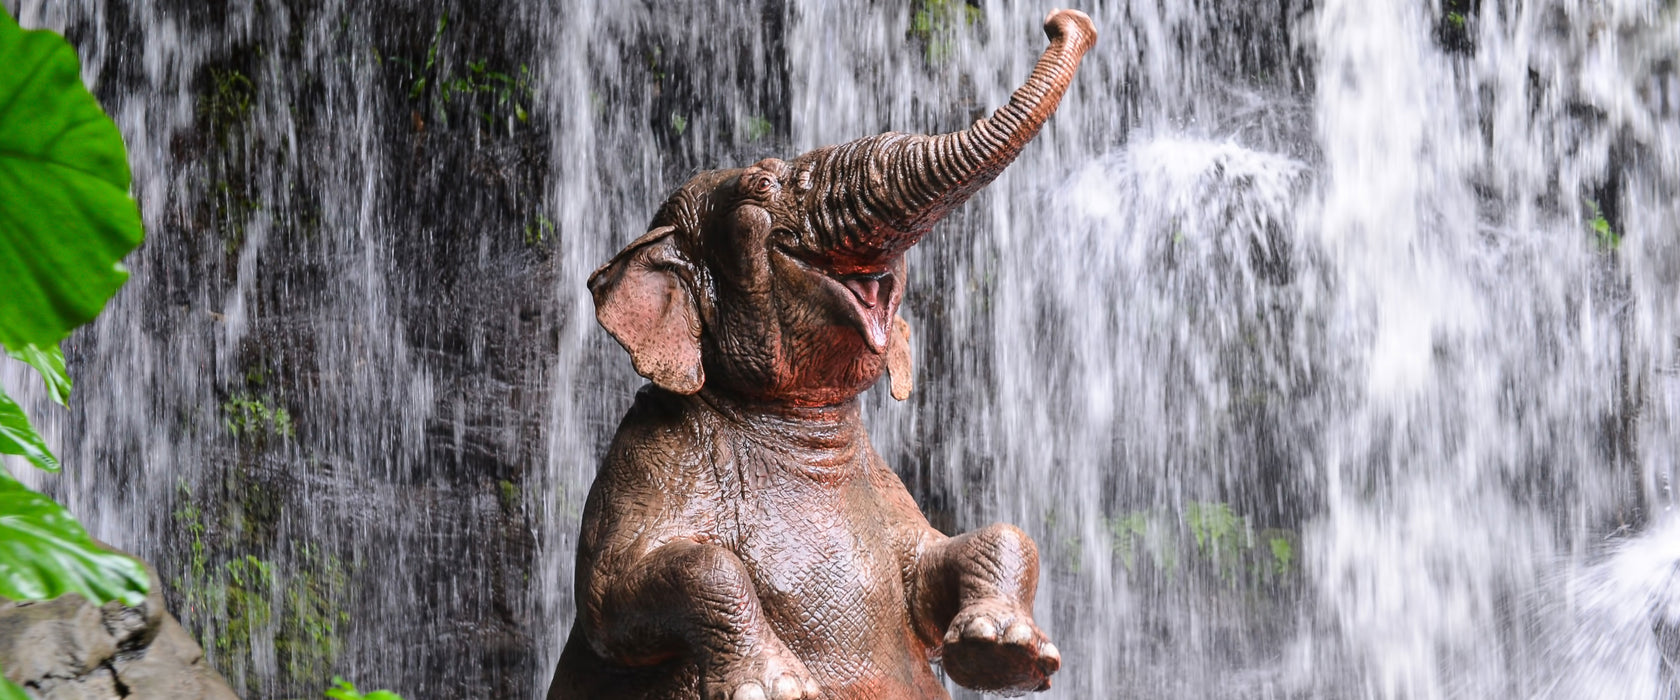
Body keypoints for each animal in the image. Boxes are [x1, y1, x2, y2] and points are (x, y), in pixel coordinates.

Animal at [551, 9, 1095, 698]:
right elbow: (614, 595)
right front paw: (777, 687)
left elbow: (941, 561)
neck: (796, 422)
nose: (1066, 22)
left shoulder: (888, 498)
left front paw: (1005, 651)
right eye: (759, 186)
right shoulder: (647, 457)